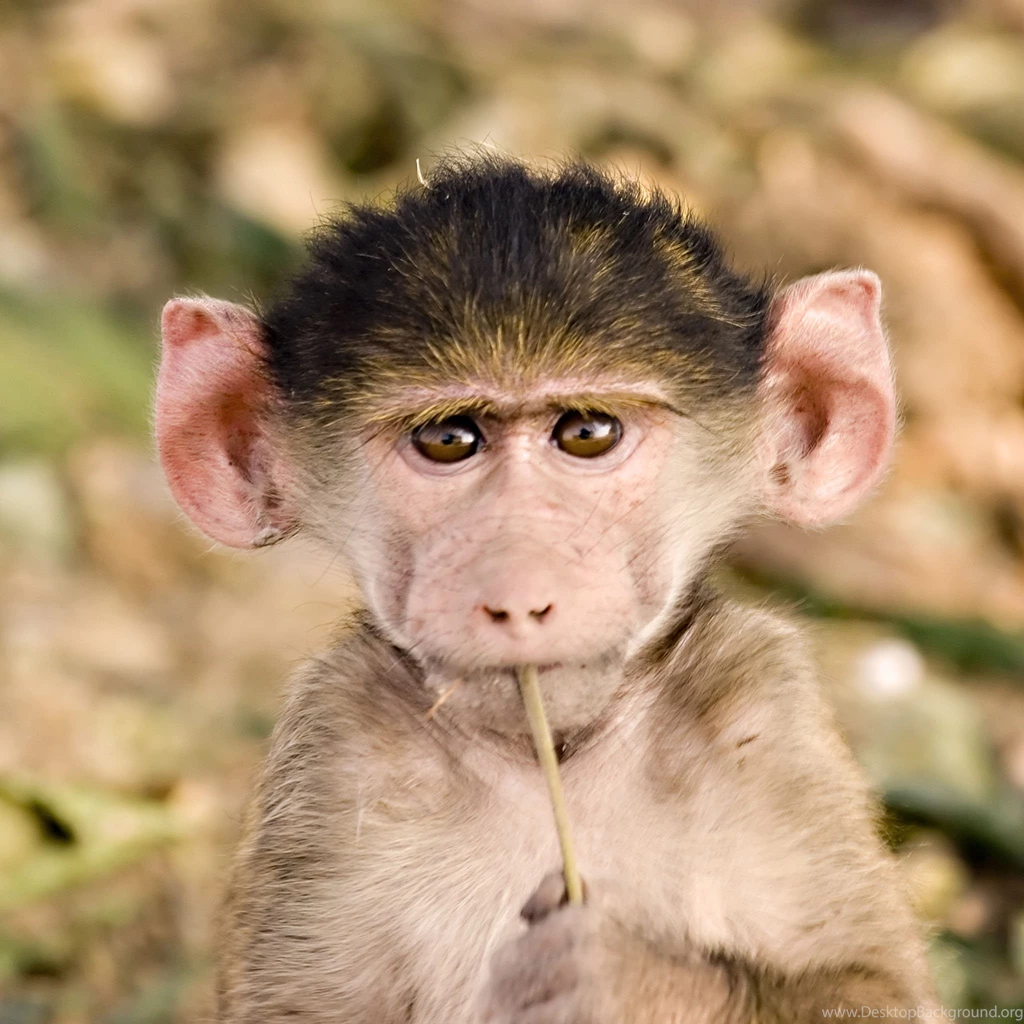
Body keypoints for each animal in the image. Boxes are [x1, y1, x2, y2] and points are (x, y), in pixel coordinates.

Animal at [155, 157, 939, 1023]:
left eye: (587, 433)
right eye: (449, 439)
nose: (519, 595)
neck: (550, 758)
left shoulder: (761, 707)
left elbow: (873, 989)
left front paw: (620, 979)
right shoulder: (334, 747)